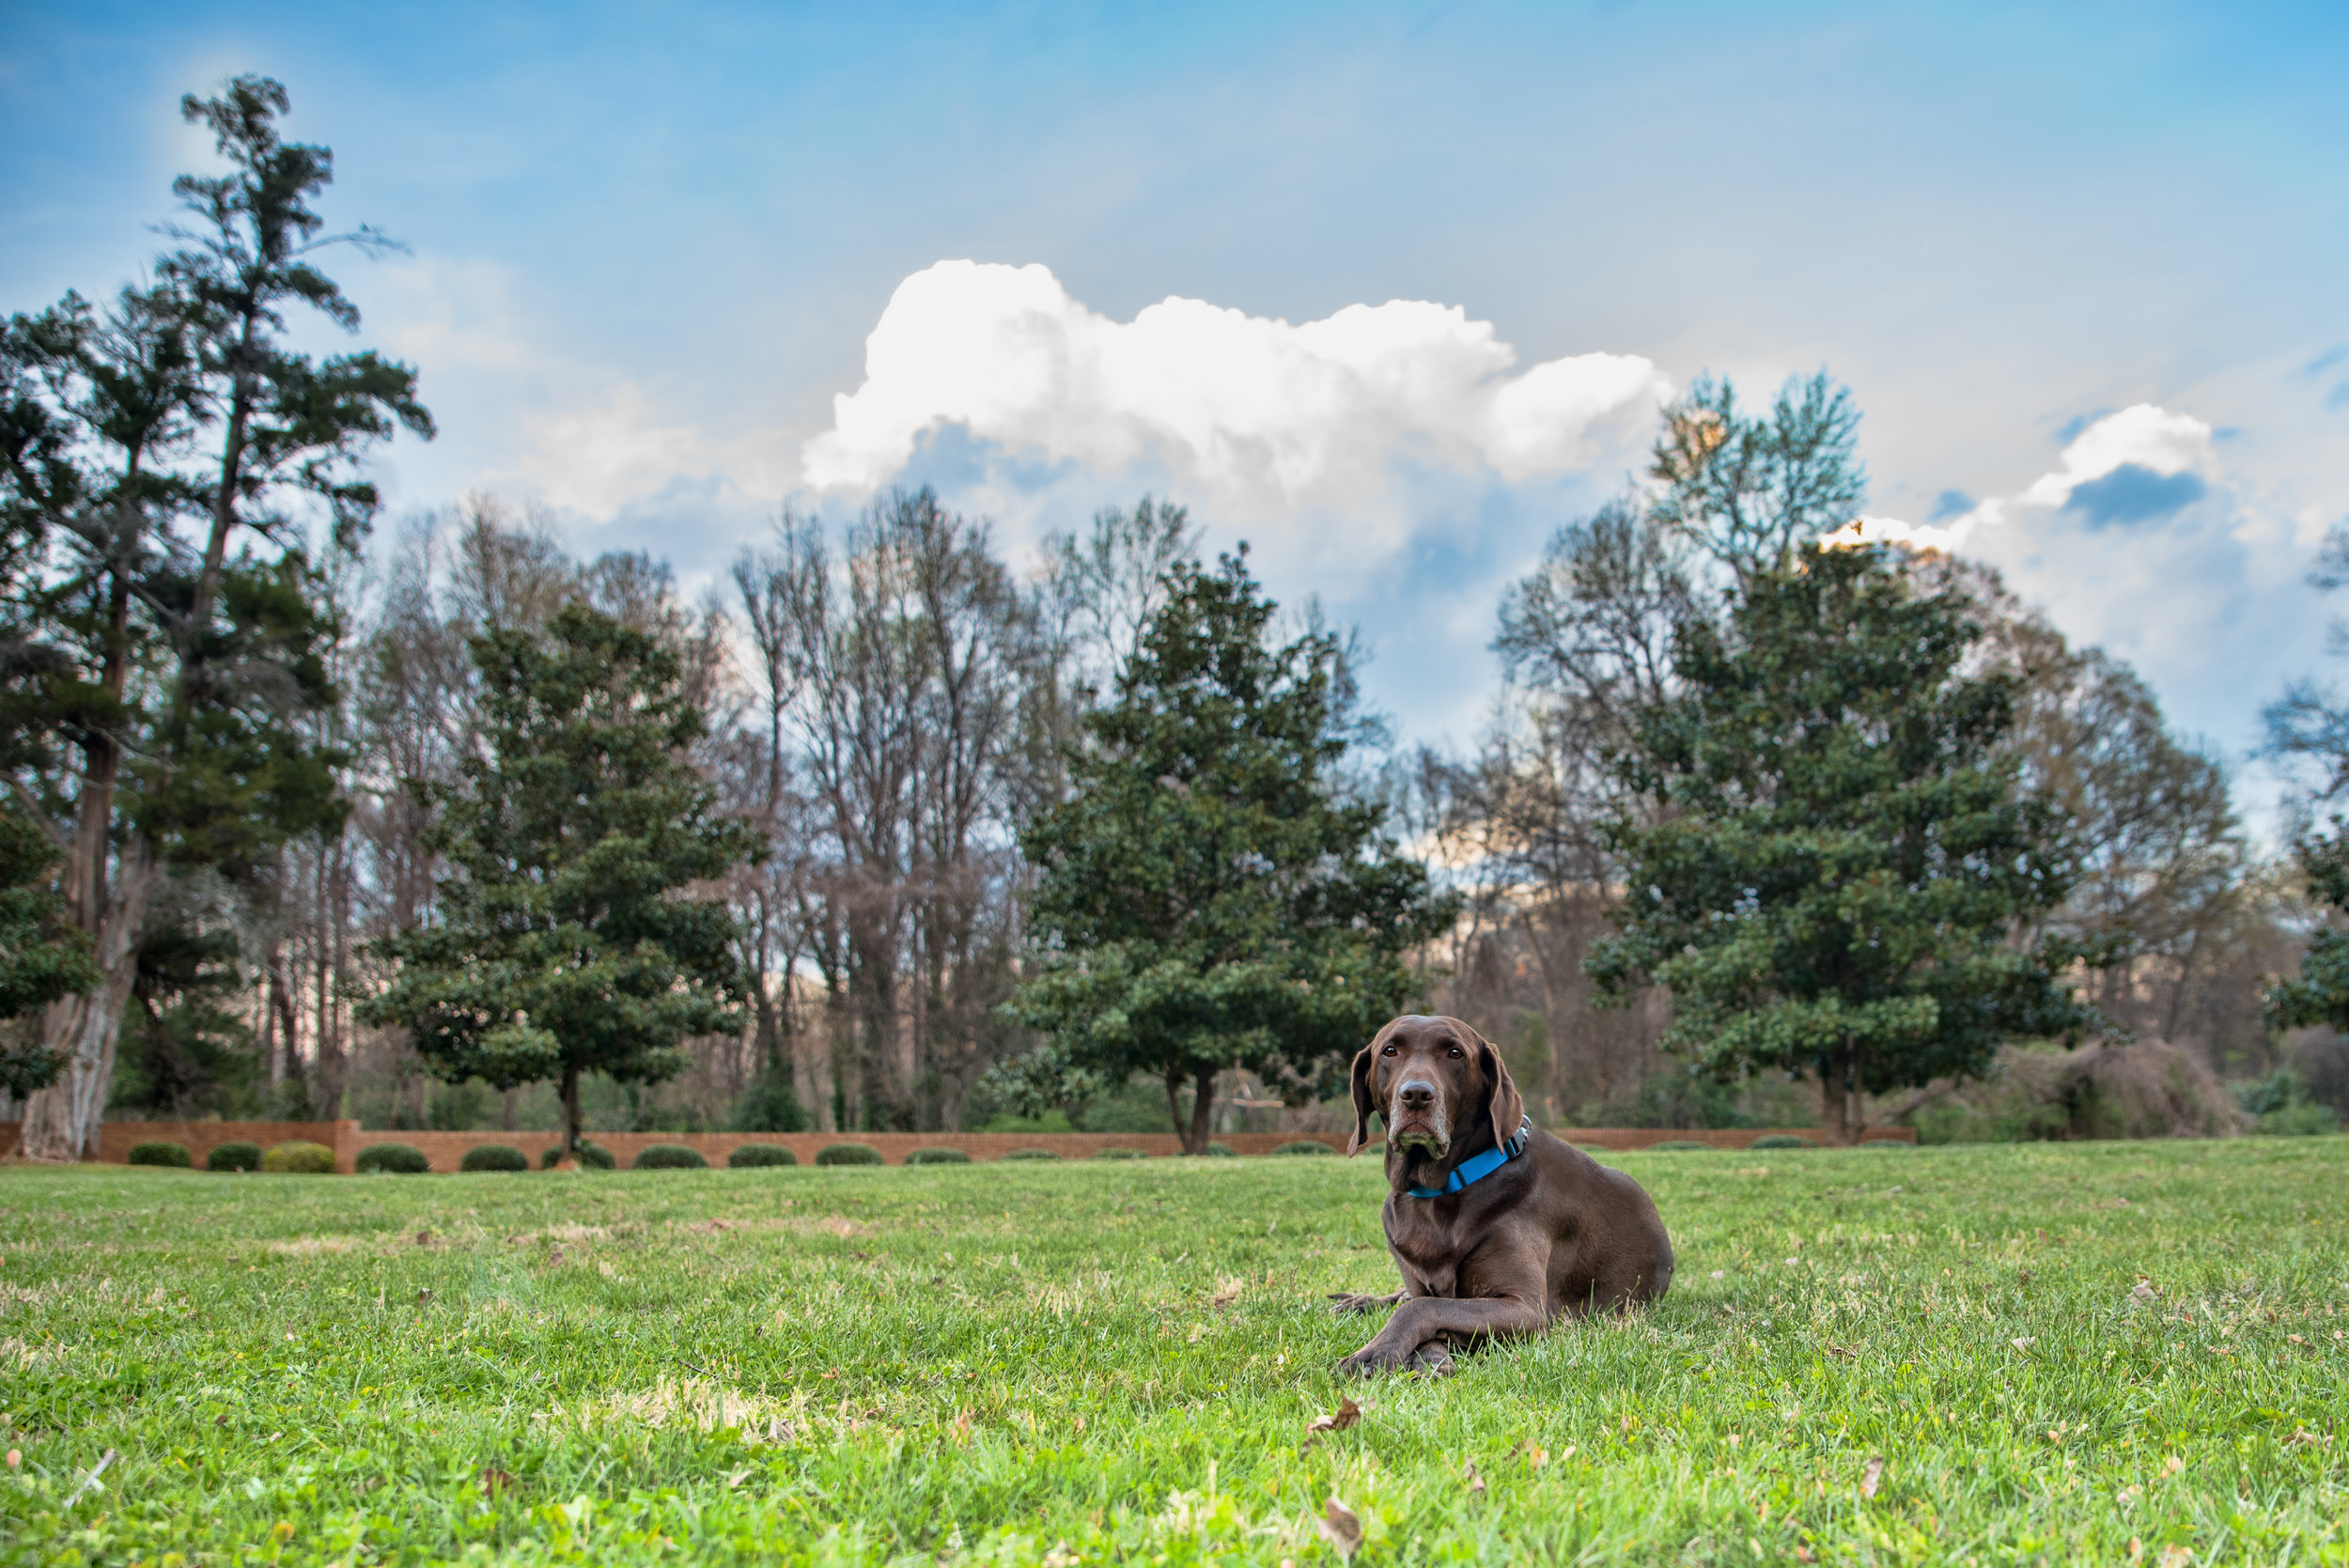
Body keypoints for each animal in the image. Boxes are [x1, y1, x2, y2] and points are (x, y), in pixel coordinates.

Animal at [1334, 1018, 1682, 1371]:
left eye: (1455, 1053)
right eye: (1390, 1050)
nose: (1416, 1094)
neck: (1439, 1190)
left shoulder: (1526, 1309)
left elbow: (1422, 1308)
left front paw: (1379, 1353)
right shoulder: (1422, 1282)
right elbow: (1422, 1303)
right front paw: (1424, 1355)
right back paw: (1357, 1301)